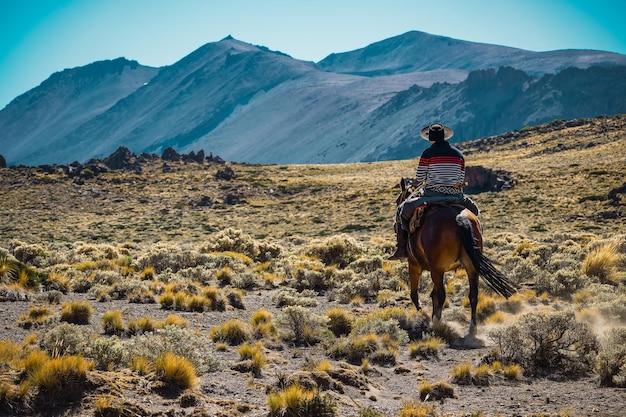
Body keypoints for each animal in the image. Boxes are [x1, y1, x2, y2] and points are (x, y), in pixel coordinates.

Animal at [398, 178, 516, 334]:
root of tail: (459, 217)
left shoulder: (414, 264)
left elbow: (415, 293)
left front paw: (423, 313)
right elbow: (431, 294)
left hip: (437, 269)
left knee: (441, 294)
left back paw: (437, 323)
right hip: (471, 267)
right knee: (473, 294)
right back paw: (472, 328)